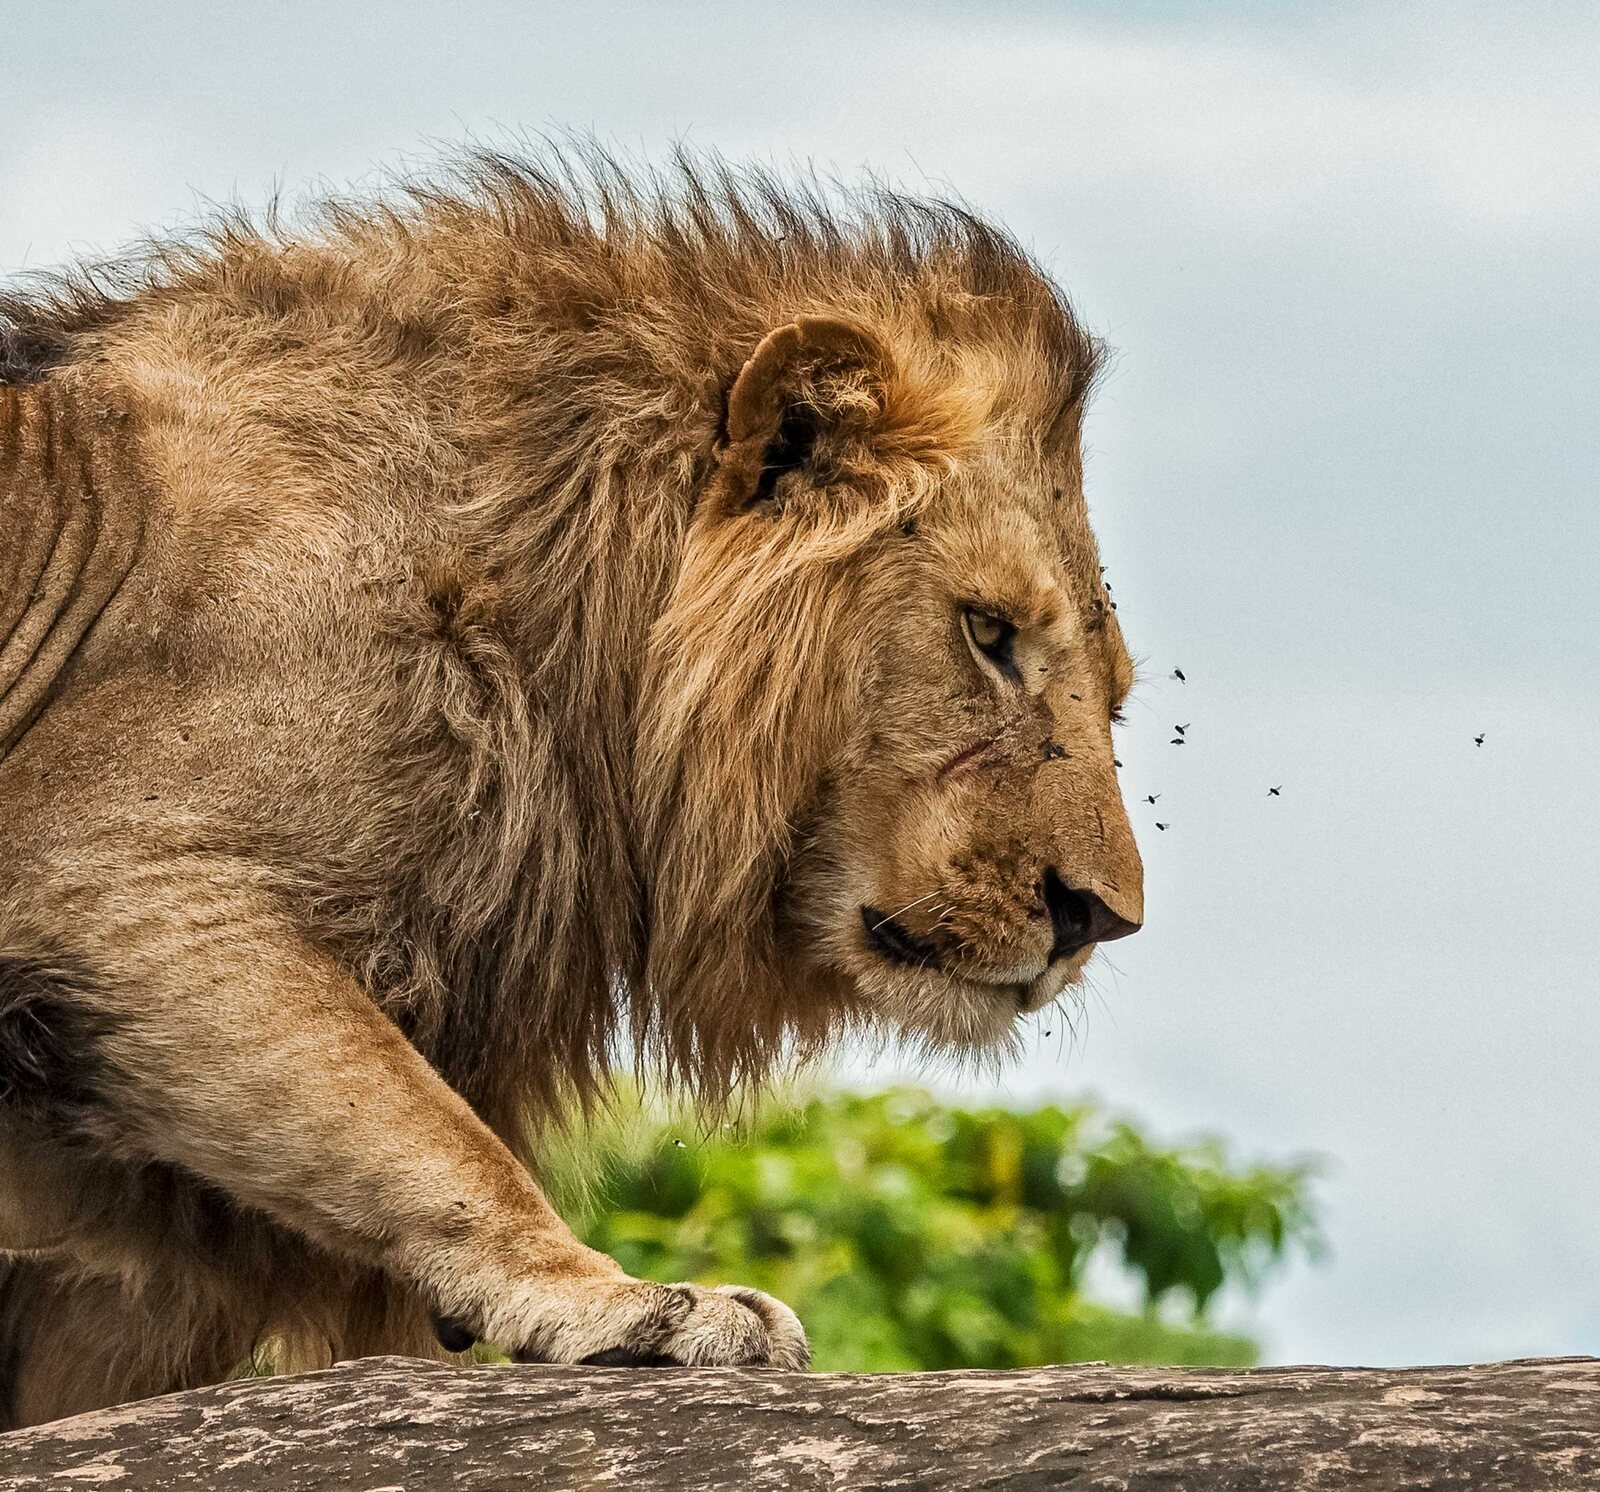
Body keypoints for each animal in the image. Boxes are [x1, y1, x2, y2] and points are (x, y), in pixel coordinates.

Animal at [0, 150, 1143, 1426]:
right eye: (988, 634)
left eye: (1117, 697)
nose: (1098, 918)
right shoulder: (117, 879)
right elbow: (420, 1131)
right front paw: (622, 1301)